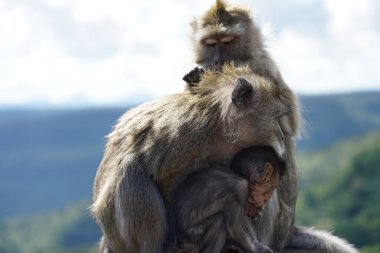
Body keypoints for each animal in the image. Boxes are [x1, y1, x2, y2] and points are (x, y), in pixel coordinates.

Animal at [90, 63, 298, 253]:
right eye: (276, 118)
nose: (282, 136)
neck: (220, 127)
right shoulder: (186, 137)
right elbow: (166, 181)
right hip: (117, 230)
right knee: (130, 170)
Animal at [189, 0, 360, 252]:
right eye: (210, 43)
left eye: (228, 41)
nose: (218, 61)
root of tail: (287, 233)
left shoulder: (264, 68)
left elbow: (287, 124)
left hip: (275, 226)